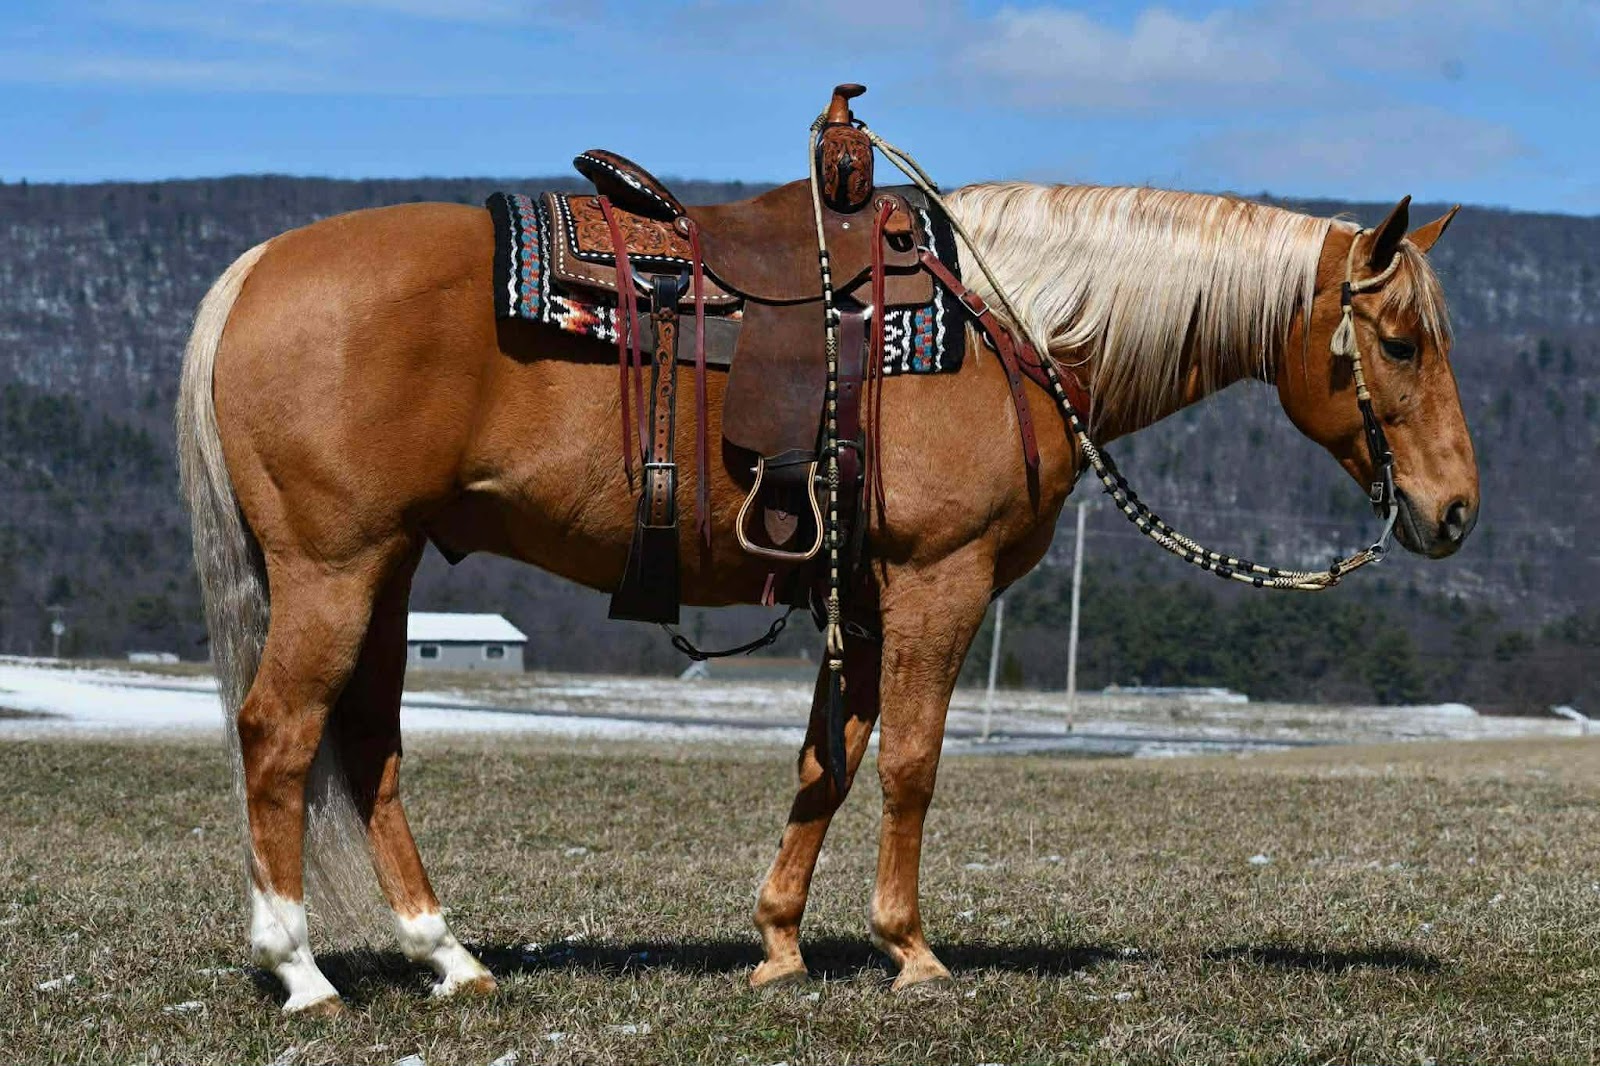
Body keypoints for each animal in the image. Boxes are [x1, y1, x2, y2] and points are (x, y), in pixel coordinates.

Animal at [177, 180, 1476, 1012]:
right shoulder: (938, 580)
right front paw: (911, 952)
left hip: (387, 569)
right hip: (336, 569)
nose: (1454, 511)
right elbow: (909, 763)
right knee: (280, 734)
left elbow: (826, 762)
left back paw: (447, 957)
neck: (1013, 325)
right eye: (1399, 343)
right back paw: (302, 971)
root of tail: (257, 269)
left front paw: (779, 945)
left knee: (368, 748)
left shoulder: (856, 598)